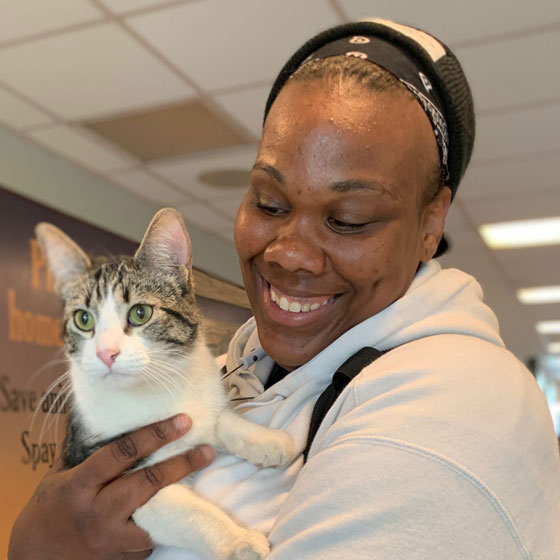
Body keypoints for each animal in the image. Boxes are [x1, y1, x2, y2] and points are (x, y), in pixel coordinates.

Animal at [35, 208, 296, 556]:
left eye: (140, 313)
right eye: (83, 319)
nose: (106, 353)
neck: (154, 388)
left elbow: (217, 419)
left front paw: (268, 440)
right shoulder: (123, 484)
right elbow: (191, 513)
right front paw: (238, 541)